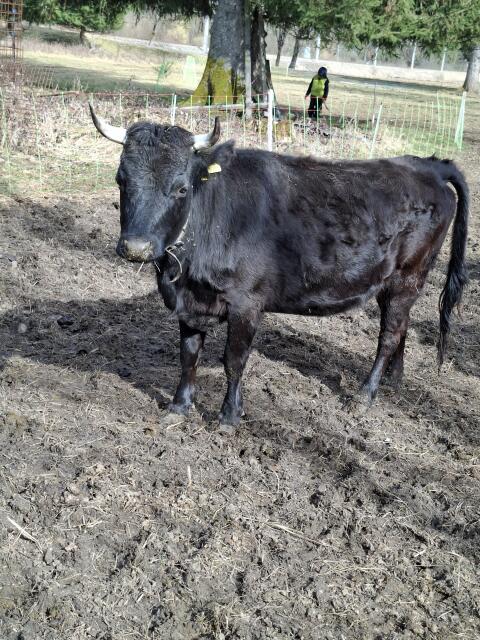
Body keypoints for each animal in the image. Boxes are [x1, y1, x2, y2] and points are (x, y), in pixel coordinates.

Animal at [89, 105, 469, 428]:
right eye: (121, 179)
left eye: (181, 189)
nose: (136, 248)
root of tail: (427, 165)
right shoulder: (190, 304)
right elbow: (188, 355)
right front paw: (179, 407)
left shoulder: (246, 304)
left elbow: (234, 360)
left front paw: (229, 416)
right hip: (392, 282)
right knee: (401, 327)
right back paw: (394, 382)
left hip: (409, 275)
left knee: (389, 335)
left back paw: (365, 395)